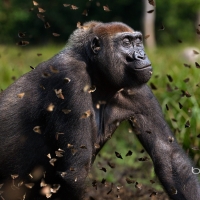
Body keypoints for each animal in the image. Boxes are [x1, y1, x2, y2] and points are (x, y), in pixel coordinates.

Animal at [0, 21, 199, 199]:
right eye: (126, 42)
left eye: (138, 41)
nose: (142, 55)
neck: (94, 70)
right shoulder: (70, 78)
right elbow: (74, 171)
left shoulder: (137, 87)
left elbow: (169, 155)